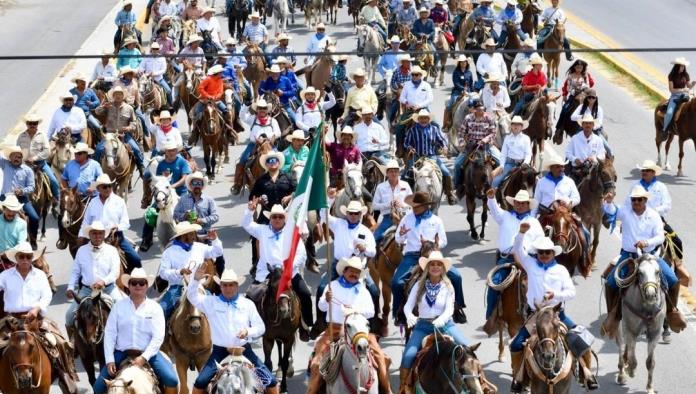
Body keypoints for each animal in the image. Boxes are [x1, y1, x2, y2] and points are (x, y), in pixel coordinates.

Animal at [616, 252, 668, 394]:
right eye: (639, 272)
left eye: (657, 271)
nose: (650, 294)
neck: (647, 308)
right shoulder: (631, 331)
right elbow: (633, 360)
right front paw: (631, 370)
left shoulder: (654, 334)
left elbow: (650, 362)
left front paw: (650, 388)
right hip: (621, 327)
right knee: (622, 346)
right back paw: (622, 374)